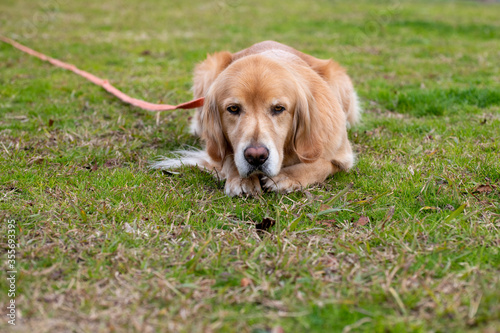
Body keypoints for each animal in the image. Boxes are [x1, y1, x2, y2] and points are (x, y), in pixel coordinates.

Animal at [152, 41, 360, 197]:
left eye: (279, 108)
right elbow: (228, 158)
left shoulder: (342, 154)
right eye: (233, 109)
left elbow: (321, 164)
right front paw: (240, 178)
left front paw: (288, 177)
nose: (256, 156)